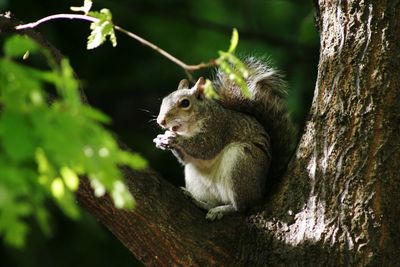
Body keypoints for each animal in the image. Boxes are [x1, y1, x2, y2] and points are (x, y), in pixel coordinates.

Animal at [153, 57, 296, 221]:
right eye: (164, 100)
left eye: (185, 103)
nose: (161, 121)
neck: (190, 129)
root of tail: (262, 189)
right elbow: (186, 159)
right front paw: (161, 140)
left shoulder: (219, 128)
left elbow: (206, 148)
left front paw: (176, 140)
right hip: (198, 181)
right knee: (213, 202)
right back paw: (199, 202)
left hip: (242, 163)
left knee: (242, 207)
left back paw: (223, 210)